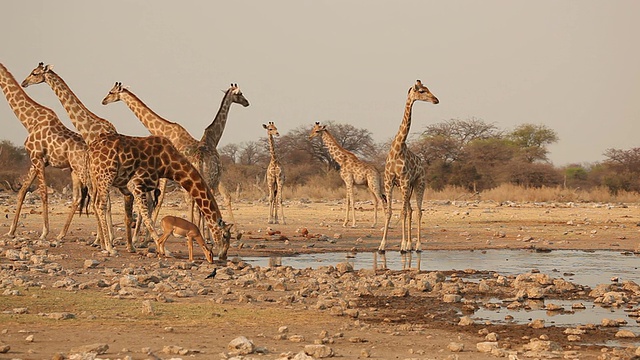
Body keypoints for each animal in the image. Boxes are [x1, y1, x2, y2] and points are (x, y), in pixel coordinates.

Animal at [0, 62, 89, 242]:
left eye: (35, 73)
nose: (24, 82)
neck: (29, 121)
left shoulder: (38, 158)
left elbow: (43, 193)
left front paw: (44, 232)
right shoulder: (35, 161)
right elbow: (22, 191)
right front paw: (11, 231)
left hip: (83, 170)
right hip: (75, 170)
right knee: (79, 198)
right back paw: (62, 234)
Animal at [87, 134, 231, 260]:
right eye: (225, 236)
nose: (223, 256)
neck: (168, 165)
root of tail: (91, 149)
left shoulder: (132, 186)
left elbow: (136, 214)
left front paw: (132, 247)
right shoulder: (136, 183)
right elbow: (148, 219)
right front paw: (164, 250)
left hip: (95, 179)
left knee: (94, 204)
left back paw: (102, 245)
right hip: (106, 175)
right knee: (100, 205)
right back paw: (110, 248)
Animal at [380, 79, 440, 253]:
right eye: (422, 91)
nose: (436, 100)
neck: (398, 148)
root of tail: (422, 165)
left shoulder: (405, 181)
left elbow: (402, 213)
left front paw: (402, 245)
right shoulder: (389, 181)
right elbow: (390, 212)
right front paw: (382, 245)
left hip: (419, 184)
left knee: (418, 211)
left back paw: (417, 245)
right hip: (407, 187)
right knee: (411, 210)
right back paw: (410, 245)